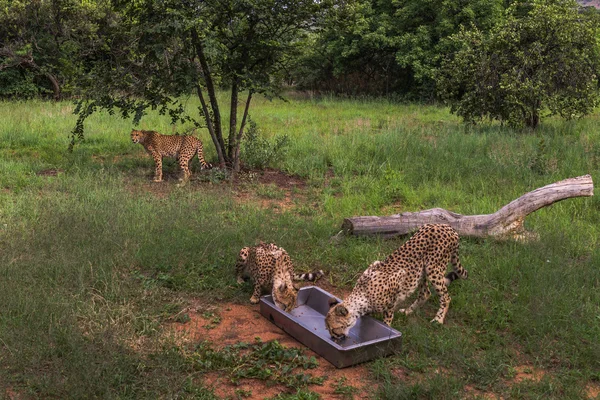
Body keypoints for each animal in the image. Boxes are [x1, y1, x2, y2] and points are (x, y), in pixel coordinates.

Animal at [326, 223, 466, 340]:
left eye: (334, 328)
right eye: (328, 329)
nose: (334, 338)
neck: (363, 296)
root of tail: (448, 227)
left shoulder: (396, 281)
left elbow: (387, 319)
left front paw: (386, 329)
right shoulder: (375, 264)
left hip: (433, 269)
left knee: (446, 297)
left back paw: (438, 319)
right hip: (422, 271)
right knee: (425, 293)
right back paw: (408, 311)